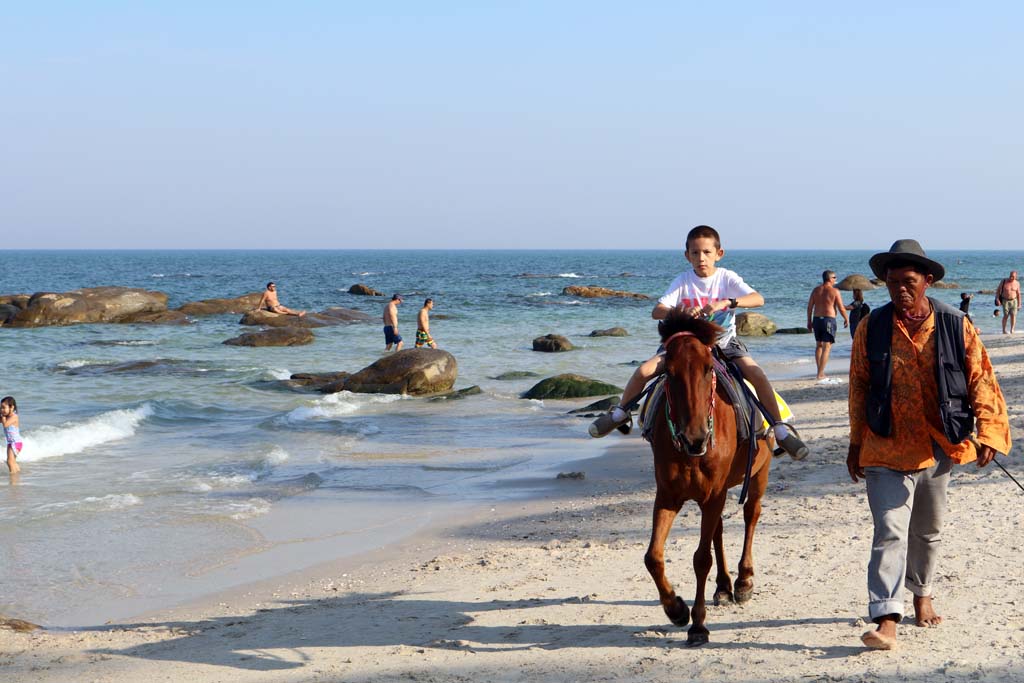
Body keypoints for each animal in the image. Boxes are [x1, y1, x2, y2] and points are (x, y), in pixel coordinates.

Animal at [643, 313, 770, 651]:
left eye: (708, 368)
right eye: (668, 371)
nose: (695, 438)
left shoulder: (714, 494)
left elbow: (701, 559)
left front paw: (698, 625)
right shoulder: (669, 495)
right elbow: (653, 557)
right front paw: (675, 608)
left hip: (759, 475)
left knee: (750, 516)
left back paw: (743, 580)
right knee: (719, 532)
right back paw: (724, 587)